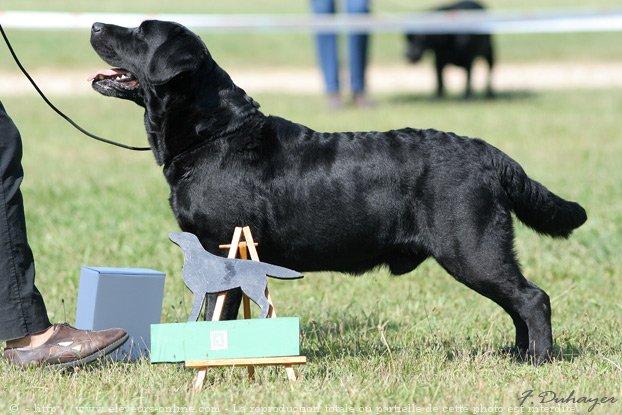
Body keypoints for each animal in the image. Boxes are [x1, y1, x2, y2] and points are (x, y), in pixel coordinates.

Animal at [90, 20, 588, 364]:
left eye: (140, 32)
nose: (95, 24)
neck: (215, 135)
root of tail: (489, 154)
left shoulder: (223, 246)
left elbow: (218, 312)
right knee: (517, 302)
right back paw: (517, 354)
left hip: (472, 247)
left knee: (531, 298)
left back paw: (538, 359)